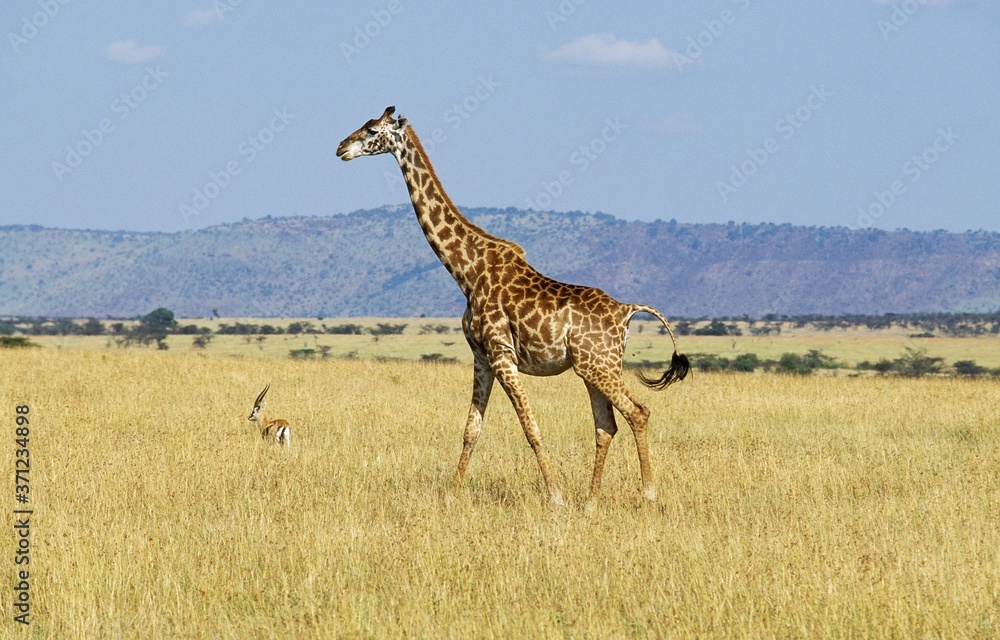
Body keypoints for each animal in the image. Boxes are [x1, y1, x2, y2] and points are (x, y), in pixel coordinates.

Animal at [337, 106, 689, 508]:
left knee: (637, 412)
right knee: (606, 426)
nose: (341, 148)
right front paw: (452, 496)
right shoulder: (482, 355)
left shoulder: (502, 352)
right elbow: (471, 429)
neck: (466, 270)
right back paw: (590, 501)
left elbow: (530, 426)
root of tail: (626, 312)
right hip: (592, 368)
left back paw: (648, 494)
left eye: (372, 130)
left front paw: (556, 497)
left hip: (599, 365)